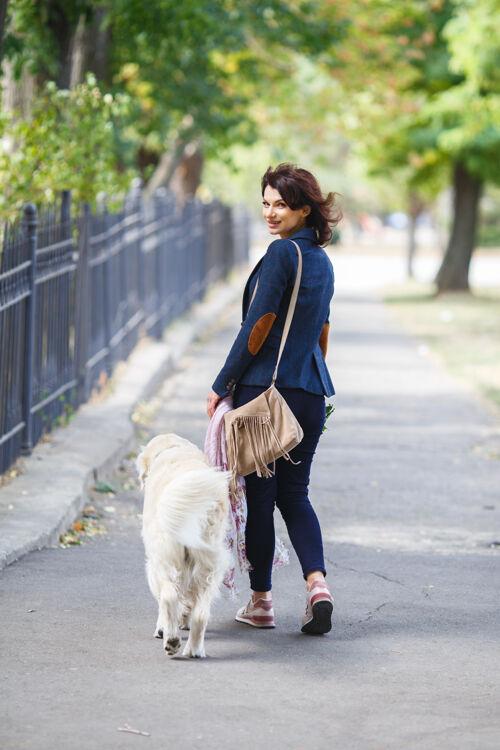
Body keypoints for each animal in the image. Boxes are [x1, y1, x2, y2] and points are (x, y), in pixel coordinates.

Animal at [136, 434, 231, 656]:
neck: (173, 449)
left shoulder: (154, 564)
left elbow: (165, 603)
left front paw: (162, 629)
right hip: (208, 567)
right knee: (201, 613)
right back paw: (194, 650)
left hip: (164, 561)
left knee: (169, 596)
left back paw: (171, 640)